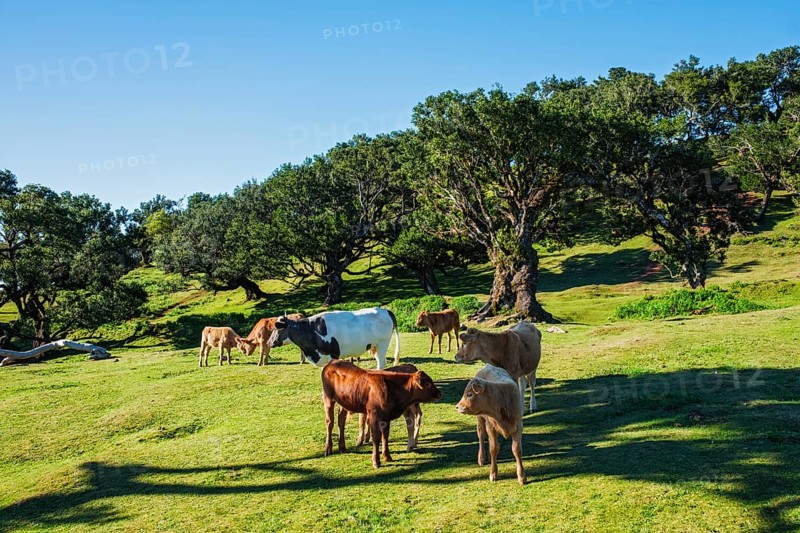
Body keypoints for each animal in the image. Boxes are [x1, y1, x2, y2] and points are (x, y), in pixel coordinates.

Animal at [268, 307, 400, 369]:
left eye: (277, 328)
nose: (270, 342)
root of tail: (385, 310)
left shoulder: (334, 354)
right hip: (375, 346)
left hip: (383, 343)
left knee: (381, 362)